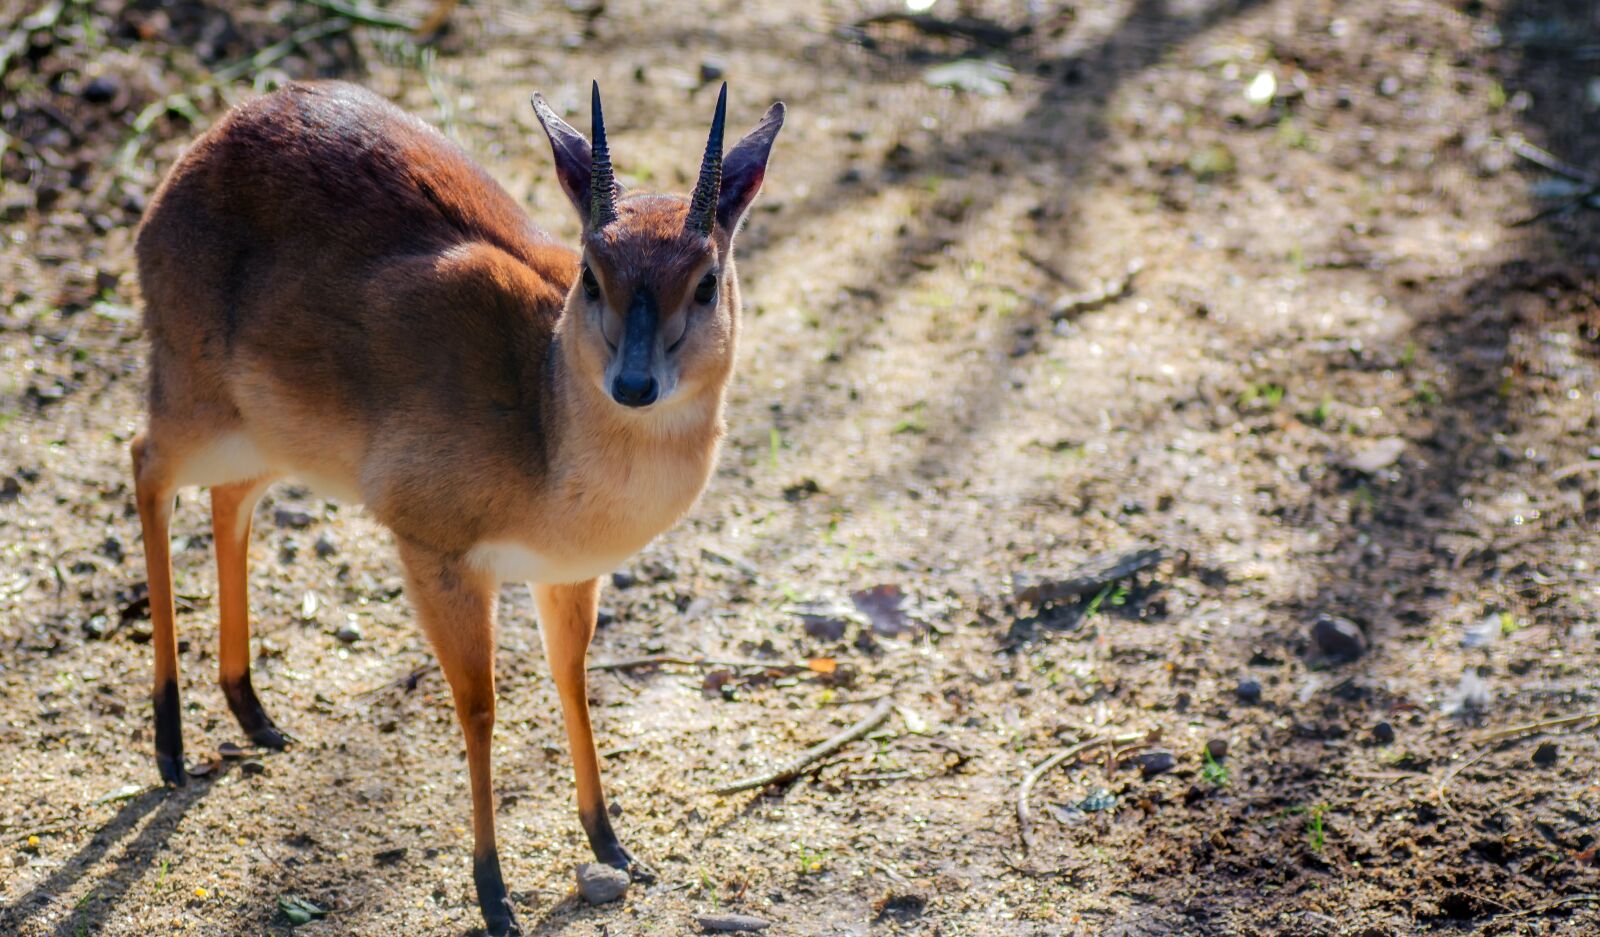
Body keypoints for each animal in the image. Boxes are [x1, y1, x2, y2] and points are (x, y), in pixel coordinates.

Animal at [130, 79, 783, 935]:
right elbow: (480, 708)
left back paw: (253, 713)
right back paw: (170, 747)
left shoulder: (567, 573)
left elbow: (572, 678)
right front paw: (494, 891)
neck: (543, 423)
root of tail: (200, 153)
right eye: (591, 273)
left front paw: (611, 842)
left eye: (705, 281)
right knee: (146, 468)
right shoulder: (436, 554)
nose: (635, 384)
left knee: (227, 498)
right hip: (194, 402)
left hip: (264, 437)